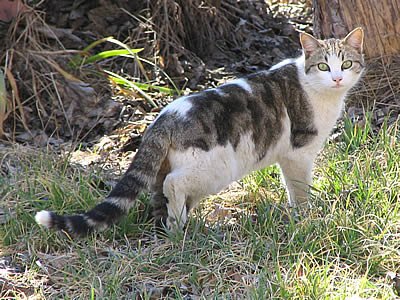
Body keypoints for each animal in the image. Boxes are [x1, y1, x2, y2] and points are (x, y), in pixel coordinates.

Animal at [36, 27, 364, 234]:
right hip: (215, 169)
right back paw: (181, 225)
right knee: (172, 184)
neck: (317, 90)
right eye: (323, 67)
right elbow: (300, 189)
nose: (337, 78)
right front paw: (306, 217)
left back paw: (174, 225)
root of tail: (164, 118)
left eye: (347, 64)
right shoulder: (298, 154)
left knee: (160, 193)